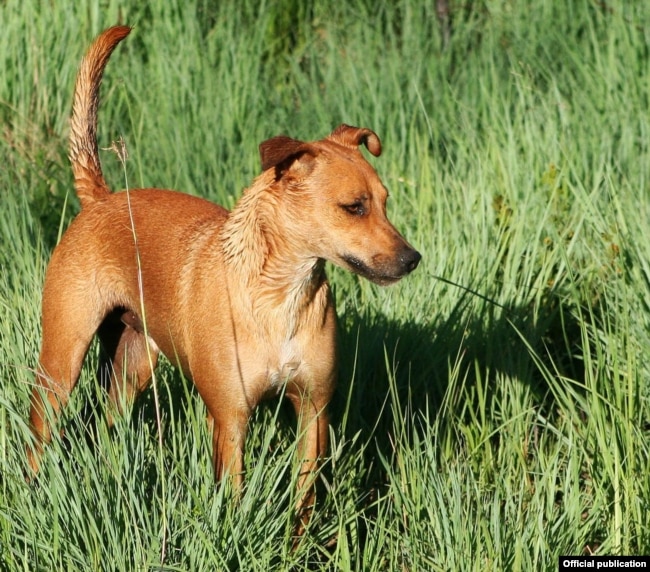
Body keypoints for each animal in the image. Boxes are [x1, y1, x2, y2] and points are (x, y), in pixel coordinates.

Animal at [26, 25, 420, 528]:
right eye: (354, 207)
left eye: (386, 201)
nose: (412, 259)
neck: (278, 296)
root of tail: (101, 199)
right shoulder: (231, 419)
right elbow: (232, 498)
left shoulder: (314, 410)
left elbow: (304, 500)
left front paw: (301, 541)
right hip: (60, 365)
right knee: (38, 438)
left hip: (131, 366)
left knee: (106, 428)